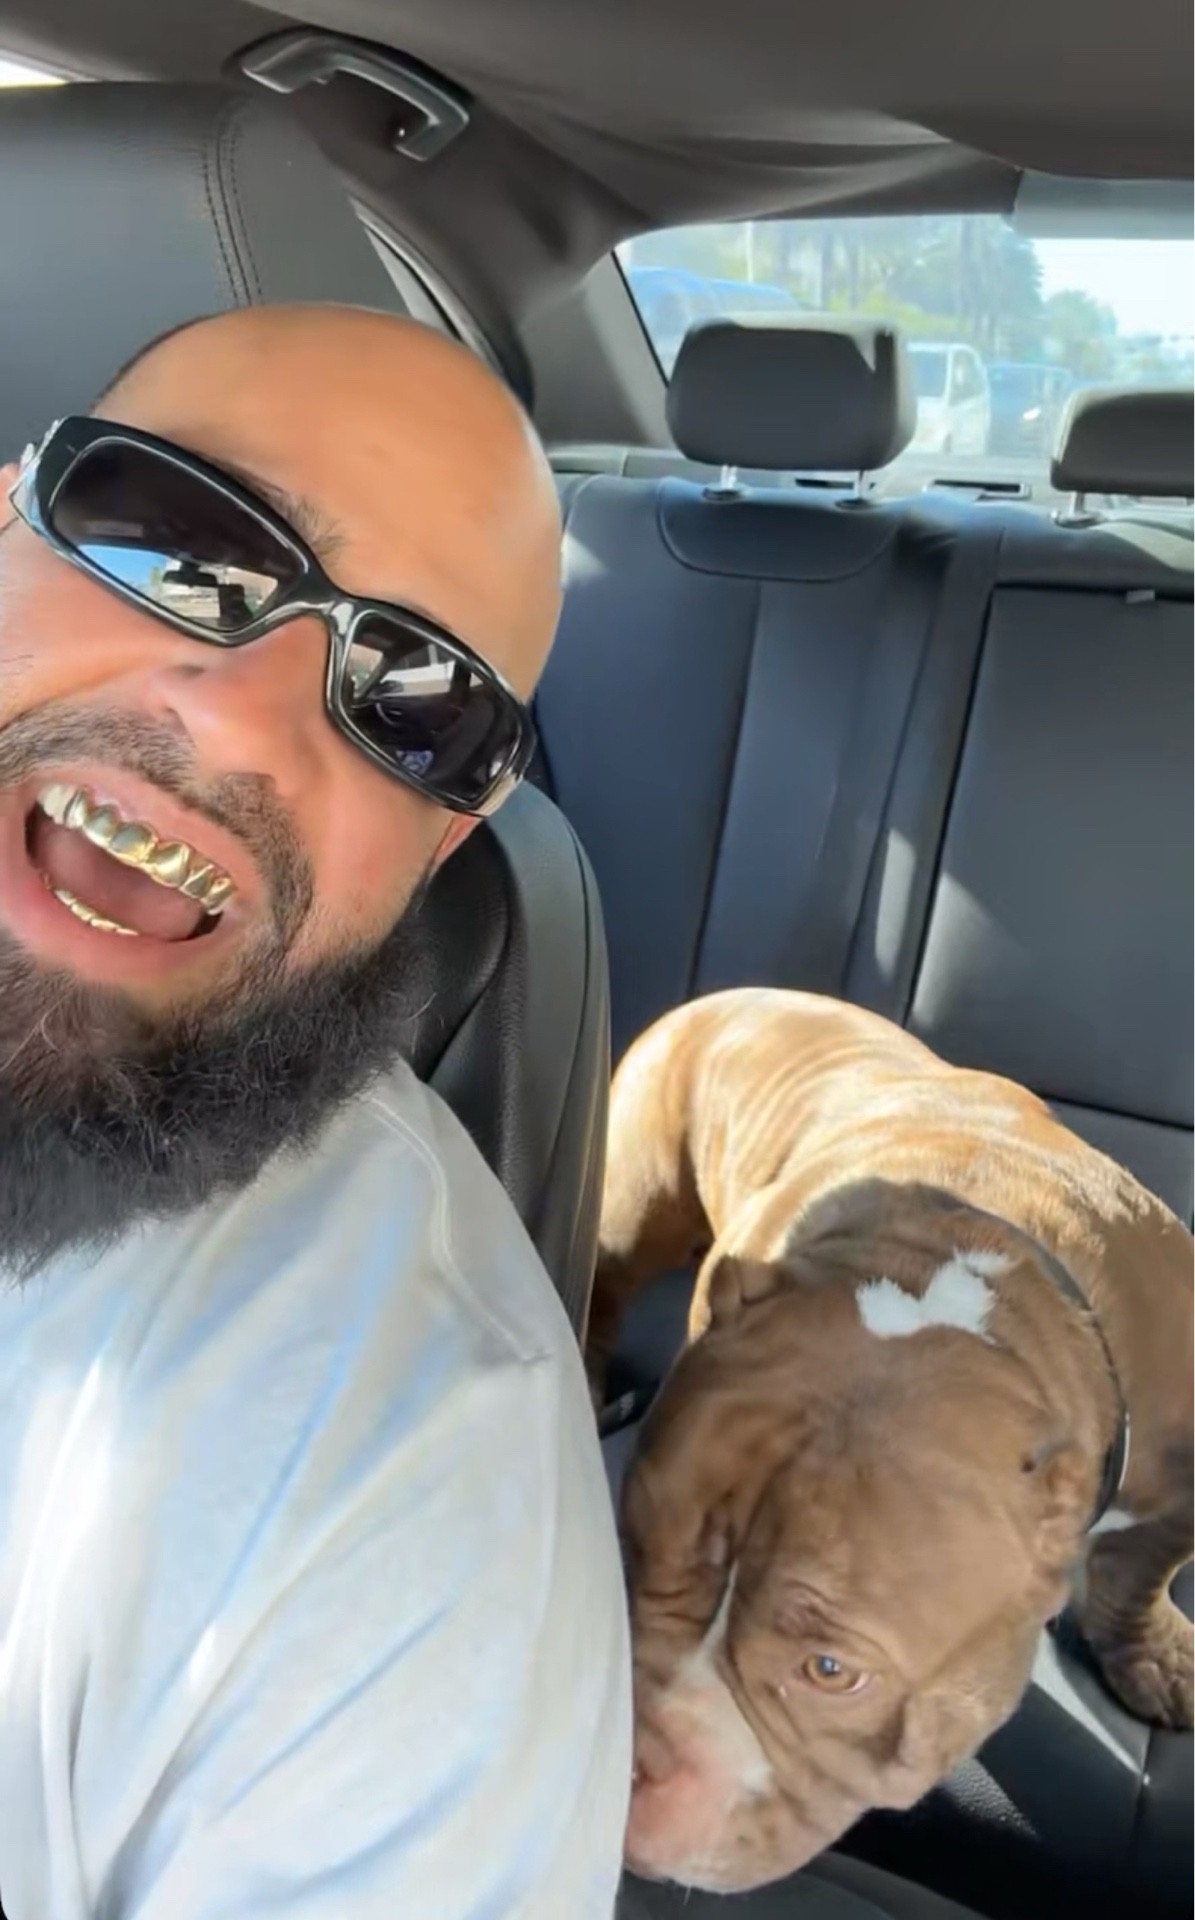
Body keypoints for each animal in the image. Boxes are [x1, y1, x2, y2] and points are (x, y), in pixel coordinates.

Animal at [589, 988, 1193, 1894]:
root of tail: (729, 996)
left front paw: (1153, 1657)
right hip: (635, 1198)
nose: (615, 1760)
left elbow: (1140, 1569)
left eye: (831, 1671)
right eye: (626, 1545)